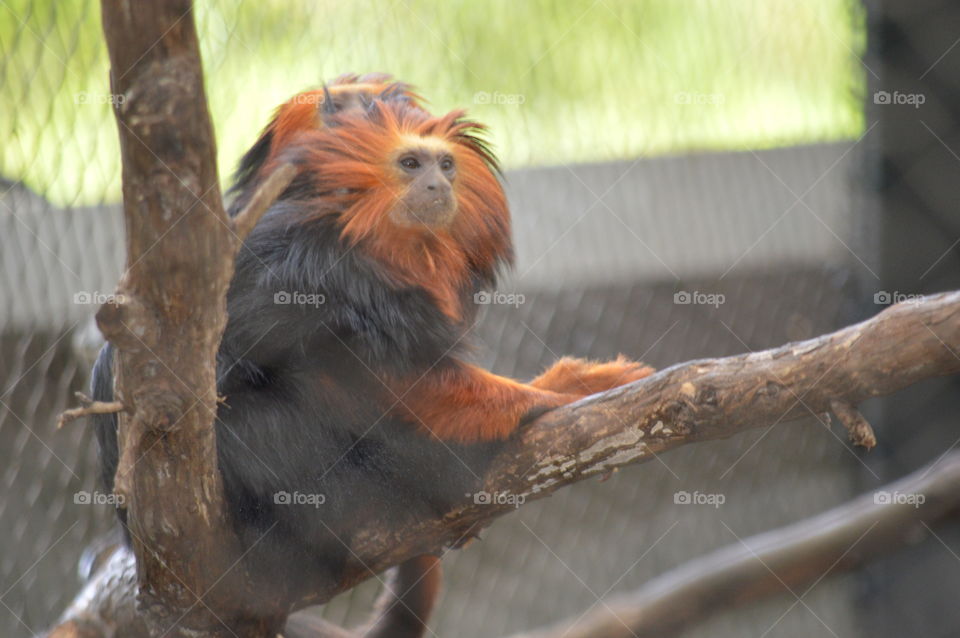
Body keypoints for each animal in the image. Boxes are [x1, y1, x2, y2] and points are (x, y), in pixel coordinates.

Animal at [92, 74, 653, 637]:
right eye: (411, 164)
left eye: (445, 165)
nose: (438, 185)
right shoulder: (314, 271)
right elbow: (376, 380)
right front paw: (559, 393)